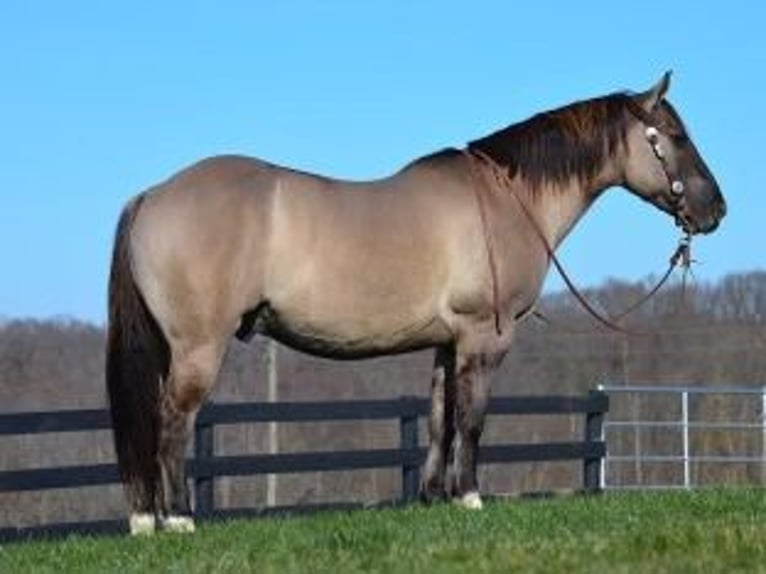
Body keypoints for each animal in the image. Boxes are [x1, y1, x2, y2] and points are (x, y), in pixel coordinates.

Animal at [106, 72, 728, 536]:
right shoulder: (484, 337)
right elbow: (472, 418)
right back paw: (177, 519)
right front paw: (470, 496)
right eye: (674, 134)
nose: (715, 210)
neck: (508, 199)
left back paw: (148, 519)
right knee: (174, 419)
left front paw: (434, 497)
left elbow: (439, 417)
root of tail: (151, 195)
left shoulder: (447, 344)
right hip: (197, 347)